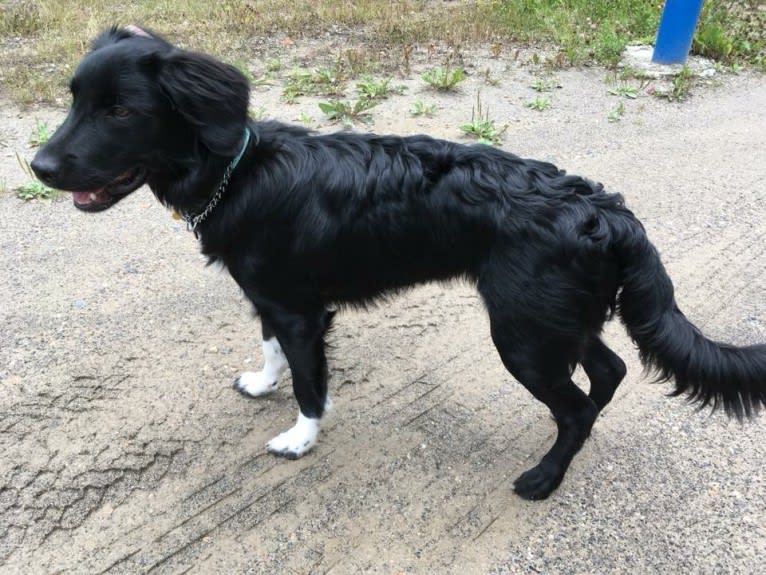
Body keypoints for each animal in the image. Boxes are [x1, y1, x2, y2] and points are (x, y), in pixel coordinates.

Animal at [33, 29, 764, 502]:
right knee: (606, 374)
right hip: (555, 319)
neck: (237, 171)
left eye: (120, 110)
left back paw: (545, 476)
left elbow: (310, 384)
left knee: (578, 406)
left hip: (523, 335)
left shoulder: (301, 313)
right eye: (72, 100)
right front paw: (262, 382)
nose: (37, 167)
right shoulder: (269, 299)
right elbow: (269, 350)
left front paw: (299, 439)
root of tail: (604, 209)